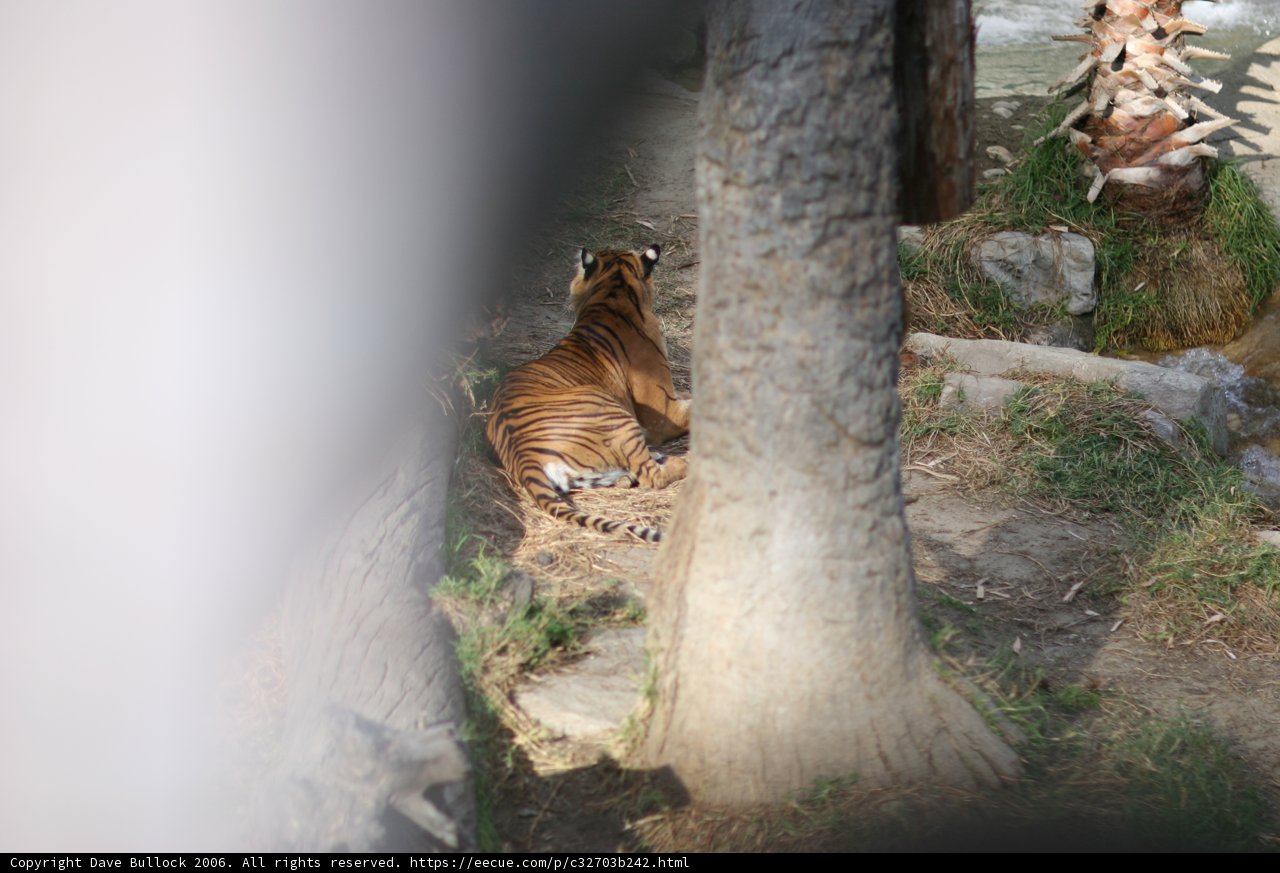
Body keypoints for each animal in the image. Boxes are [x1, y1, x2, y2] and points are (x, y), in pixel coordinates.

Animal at [485, 244, 691, 543]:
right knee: (651, 475)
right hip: (613, 413)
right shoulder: (664, 414)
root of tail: (523, 456)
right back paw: (679, 463)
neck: (612, 294)